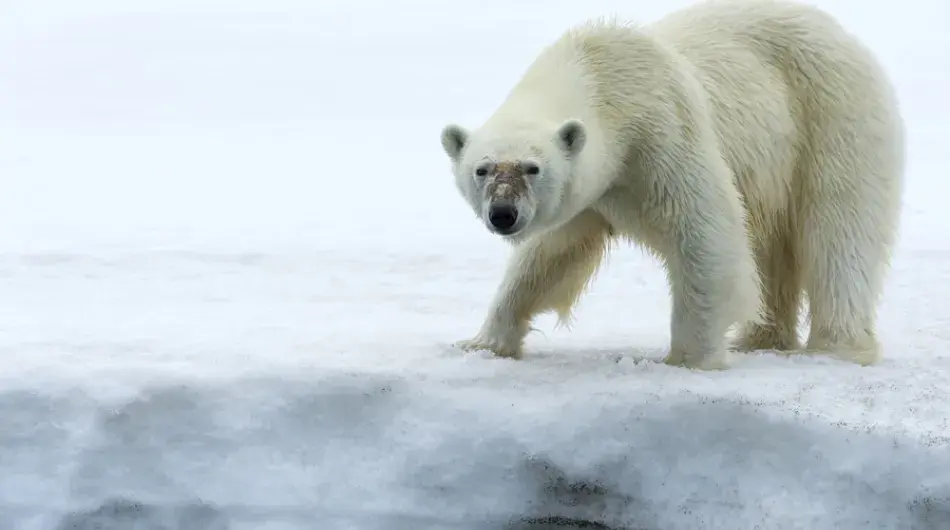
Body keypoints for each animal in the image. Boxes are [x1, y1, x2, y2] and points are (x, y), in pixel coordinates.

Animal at [438, 0, 904, 370]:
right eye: (482, 169)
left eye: (532, 168)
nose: (503, 214)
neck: (600, 77)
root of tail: (840, 32)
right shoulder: (592, 190)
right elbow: (551, 254)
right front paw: (482, 342)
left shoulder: (660, 132)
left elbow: (703, 231)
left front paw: (687, 359)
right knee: (771, 245)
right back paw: (761, 338)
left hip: (830, 116)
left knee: (839, 235)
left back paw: (837, 346)